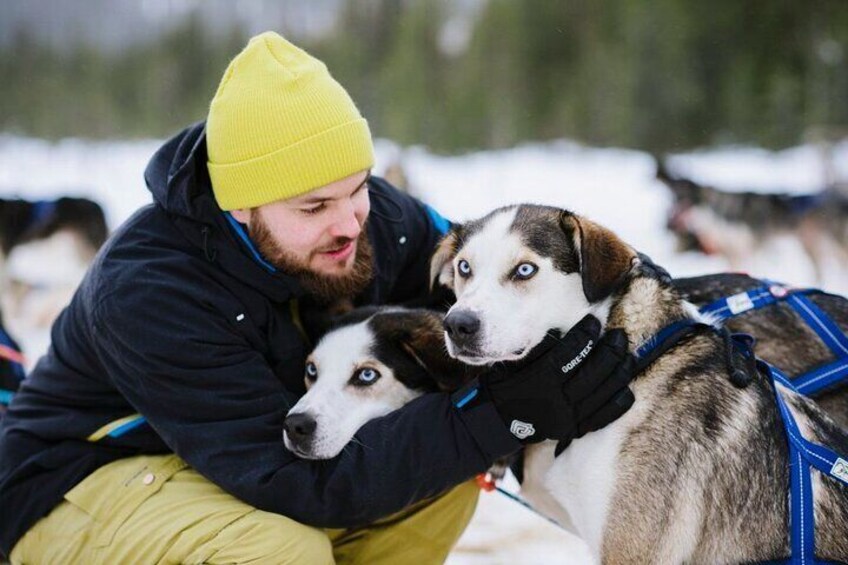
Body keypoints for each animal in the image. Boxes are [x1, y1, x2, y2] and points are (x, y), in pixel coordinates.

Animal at [656, 159, 848, 282]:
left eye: (682, 197)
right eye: (672, 198)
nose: (665, 225)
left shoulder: (750, 251)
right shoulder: (733, 254)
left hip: (832, 245)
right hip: (811, 246)